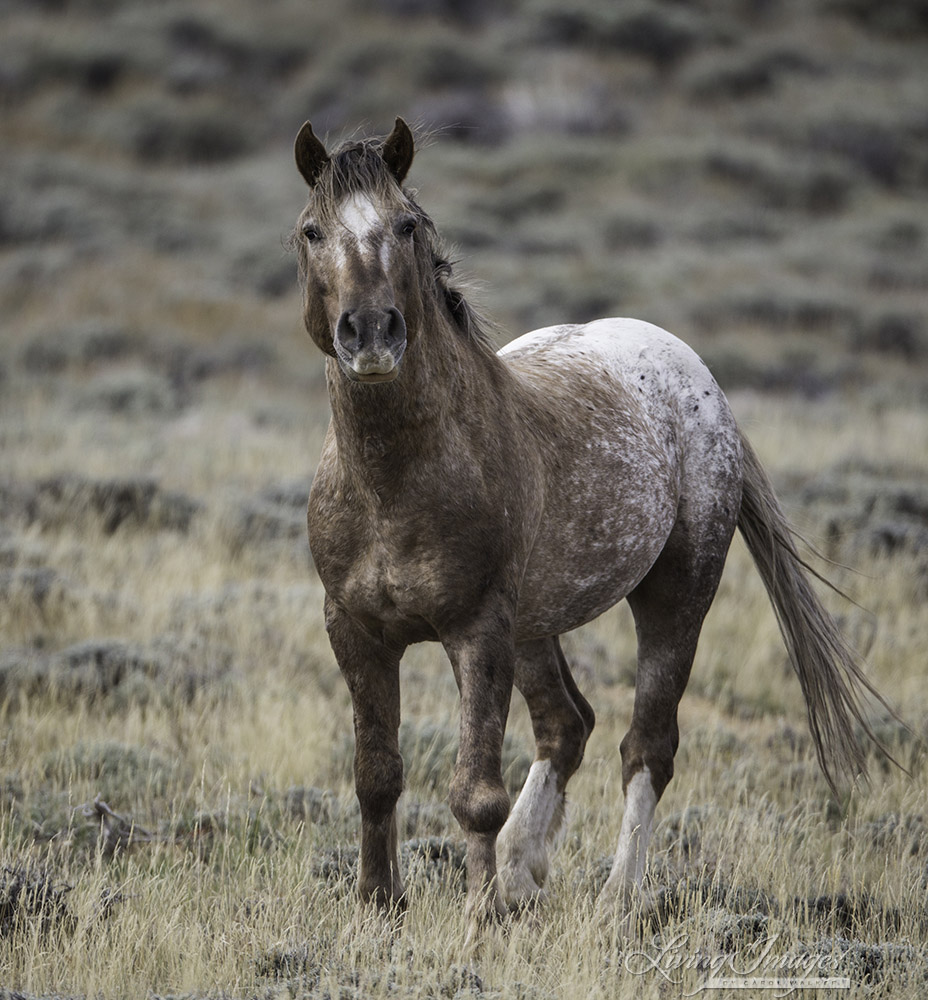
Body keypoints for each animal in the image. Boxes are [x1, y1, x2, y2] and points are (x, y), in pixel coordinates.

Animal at [288, 119, 892, 936]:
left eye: (406, 225)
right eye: (311, 231)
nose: (371, 332)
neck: (393, 479)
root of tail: (699, 377)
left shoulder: (476, 631)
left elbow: (475, 791)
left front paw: (480, 920)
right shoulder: (355, 631)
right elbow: (376, 774)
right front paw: (381, 905)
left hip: (672, 600)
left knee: (648, 747)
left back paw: (614, 900)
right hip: (535, 628)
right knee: (566, 725)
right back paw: (524, 871)